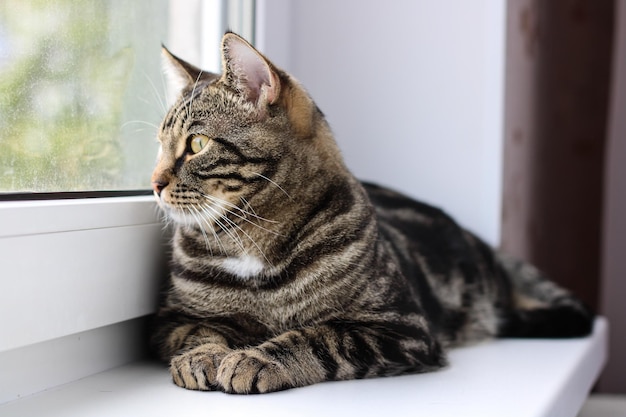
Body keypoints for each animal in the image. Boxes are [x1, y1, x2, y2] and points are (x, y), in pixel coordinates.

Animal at [149, 33, 592, 394]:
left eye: (197, 144)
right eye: (160, 144)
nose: (153, 182)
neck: (251, 240)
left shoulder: (400, 328)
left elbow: (318, 337)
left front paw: (257, 357)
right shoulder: (172, 318)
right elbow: (198, 330)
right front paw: (203, 356)